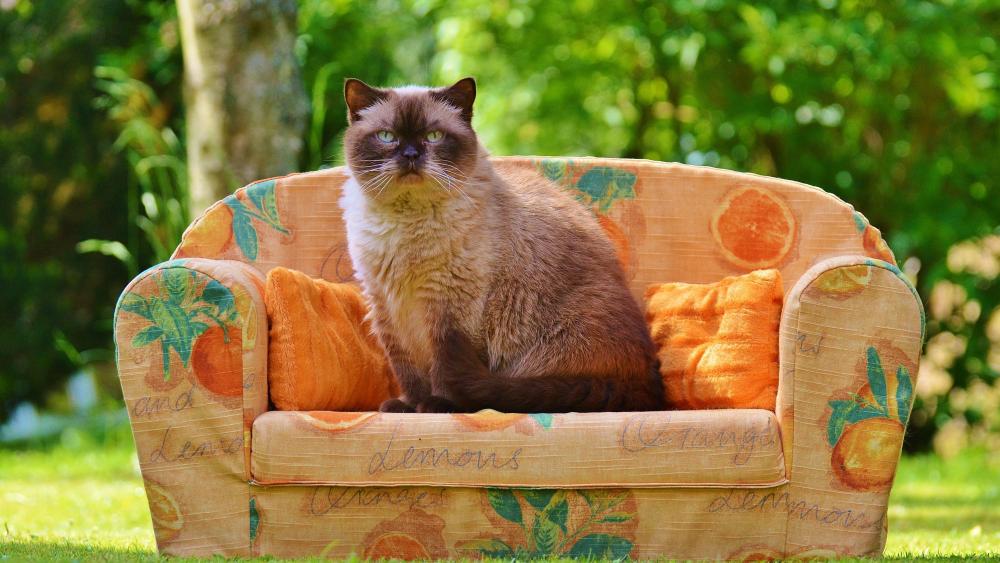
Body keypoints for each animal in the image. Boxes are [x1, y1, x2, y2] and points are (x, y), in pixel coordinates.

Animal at [336, 77, 664, 414]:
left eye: (434, 136)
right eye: (387, 136)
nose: (411, 155)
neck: (407, 224)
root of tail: (647, 384)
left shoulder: (451, 310)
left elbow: (444, 365)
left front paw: (437, 406)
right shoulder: (386, 306)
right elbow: (407, 370)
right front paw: (408, 407)